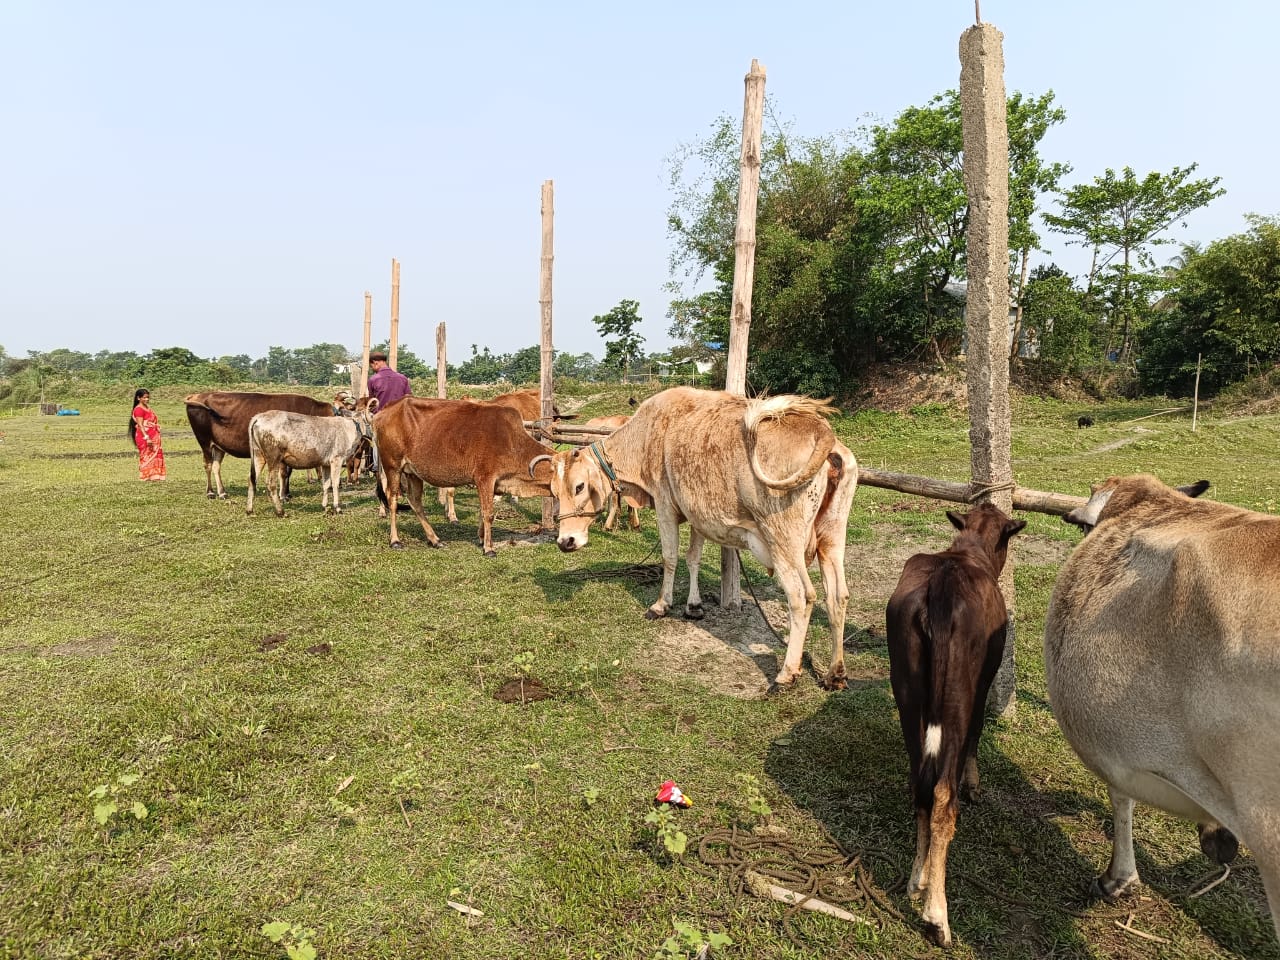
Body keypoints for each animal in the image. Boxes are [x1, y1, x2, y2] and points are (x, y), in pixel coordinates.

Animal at [186, 391, 337, 499]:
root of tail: (198, 395)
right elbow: (284, 473)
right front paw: (283, 495)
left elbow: (288, 472)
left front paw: (287, 493)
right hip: (204, 441)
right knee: (208, 465)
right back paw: (210, 492)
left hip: (218, 446)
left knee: (216, 466)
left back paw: (222, 492)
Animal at [545, 384, 855, 691]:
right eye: (553, 491)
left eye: (579, 487)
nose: (565, 541)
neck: (647, 436)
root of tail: (821, 431)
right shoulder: (695, 511)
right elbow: (692, 558)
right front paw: (693, 606)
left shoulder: (665, 505)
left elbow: (670, 557)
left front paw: (661, 605)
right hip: (832, 537)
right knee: (837, 595)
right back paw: (835, 673)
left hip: (782, 541)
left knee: (802, 597)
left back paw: (786, 673)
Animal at [885, 504, 1024, 947]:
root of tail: (940, 590)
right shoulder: (983, 685)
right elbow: (977, 736)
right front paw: (974, 782)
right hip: (958, 696)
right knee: (943, 796)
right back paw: (937, 914)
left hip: (908, 693)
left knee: (920, 787)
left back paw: (917, 879)